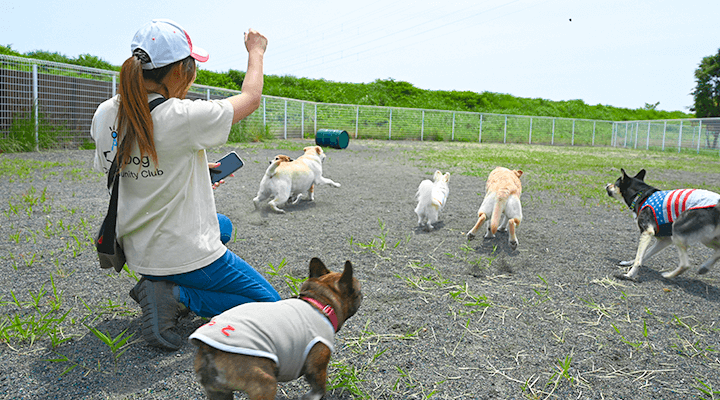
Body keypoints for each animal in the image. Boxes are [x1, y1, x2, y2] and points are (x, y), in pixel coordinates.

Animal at [190, 256, 362, 400]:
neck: (320, 303)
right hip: (265, 384)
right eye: (358, 291)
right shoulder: (317, 365)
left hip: (218, 392)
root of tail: (209, 351)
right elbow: (318, 387)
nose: (362, 294)